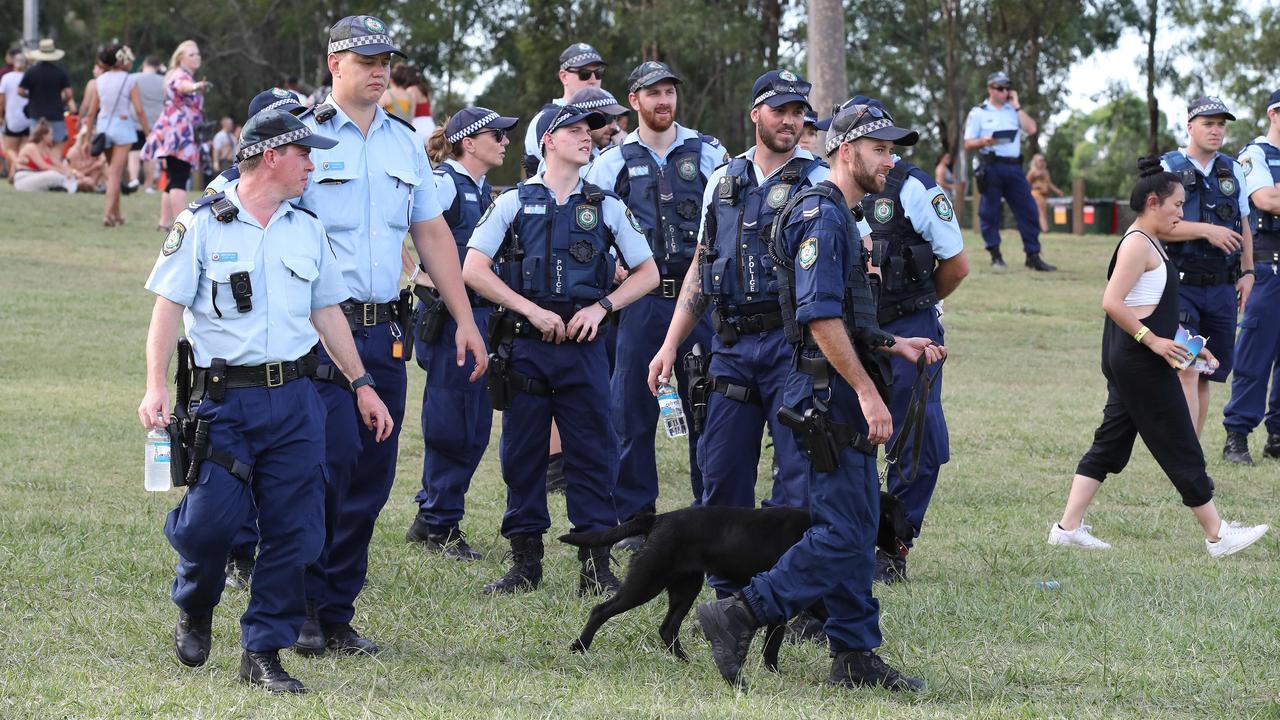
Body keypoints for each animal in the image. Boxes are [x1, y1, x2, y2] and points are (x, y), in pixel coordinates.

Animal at [560, 489, 911, 671]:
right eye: (902, 514)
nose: (913, 529)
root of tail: (659, 519)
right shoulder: (788, 600)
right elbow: (773, 644)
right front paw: (773, 672)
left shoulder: (809, 599)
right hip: (647, 580)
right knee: (602, 610)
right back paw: (579, 646)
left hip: (685, 587)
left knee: (667, 627)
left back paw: (686, 661)